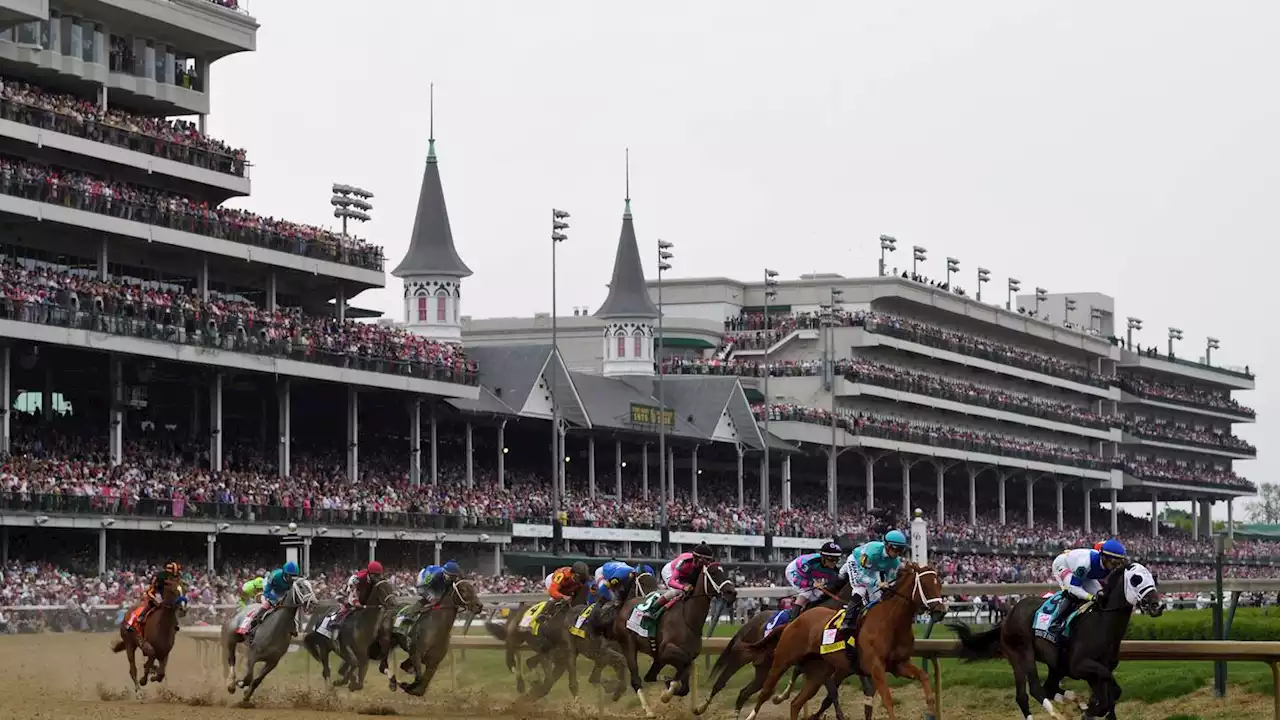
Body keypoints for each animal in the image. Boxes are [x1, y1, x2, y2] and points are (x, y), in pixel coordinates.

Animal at [619, 563, 742, 712]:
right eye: (713, 573)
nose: (732, 593)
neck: (687, 618)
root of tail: (627, 604)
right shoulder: (667, 651)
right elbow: (684, 666)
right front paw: (667, 693)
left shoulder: (678, 655)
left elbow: (684, 684)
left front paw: (669, 687)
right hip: (628, 645)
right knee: (636, 678)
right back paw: (648, 711)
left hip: (656, 658)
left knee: (649, 676)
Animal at [742, 561, 952, 717]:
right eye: (926, 585)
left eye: (939, 584)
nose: (941, 612)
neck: (890, 622)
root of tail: (794, 621)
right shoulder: (875, 668)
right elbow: (887, 700)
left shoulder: (898, 665)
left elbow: (924, 677)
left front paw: (931, 708)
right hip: (782, 660)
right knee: (765, 693)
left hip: (818, 672)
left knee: (795, 703)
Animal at [952, 561, 1162, 717]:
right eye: (1136, 579)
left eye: (1153, 578)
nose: (1157, 605)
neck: (1101, 623)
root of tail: (1007, 618)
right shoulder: (1080, 666)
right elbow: (1107, 694)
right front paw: (1090, 709)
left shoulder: (1096, 670)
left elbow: (1110, 695)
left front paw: (1089, 707)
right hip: (1021, 653)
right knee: (1033, 691)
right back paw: (1059, 712)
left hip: (1054, 664)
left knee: (1046, 688)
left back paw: (1074, 701)